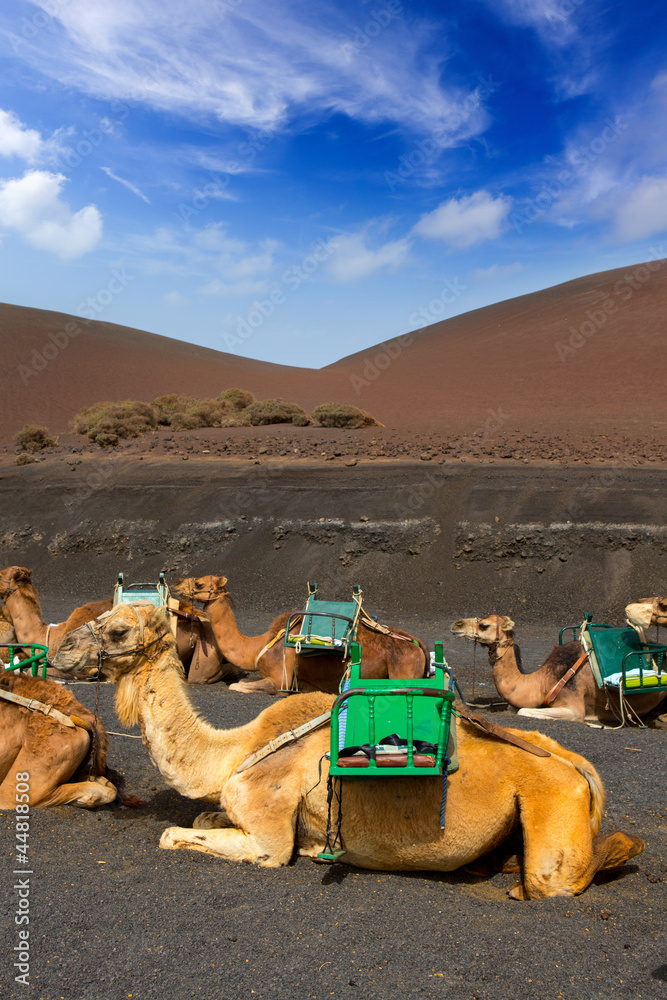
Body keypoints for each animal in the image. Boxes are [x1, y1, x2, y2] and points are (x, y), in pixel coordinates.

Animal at [53, 603, 643, 899]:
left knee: (565, 875)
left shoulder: (268, 839)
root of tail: (581, 770)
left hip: (552, 810)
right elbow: (199, 816)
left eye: (117, 629)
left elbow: (173, 833)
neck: (232, 751)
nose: (58, 650)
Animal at [171, 576, 429, 695]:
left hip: (403, 669)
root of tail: (417, 645)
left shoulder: (280, 679)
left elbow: (236, 686)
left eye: (199, 583)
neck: (258, 647)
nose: (174, 584)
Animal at [450, 614, 667, 723]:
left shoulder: (574, 705)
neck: (542, 682)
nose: (456, 624)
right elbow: (514, 707)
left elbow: (523, 711)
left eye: (484, 625)